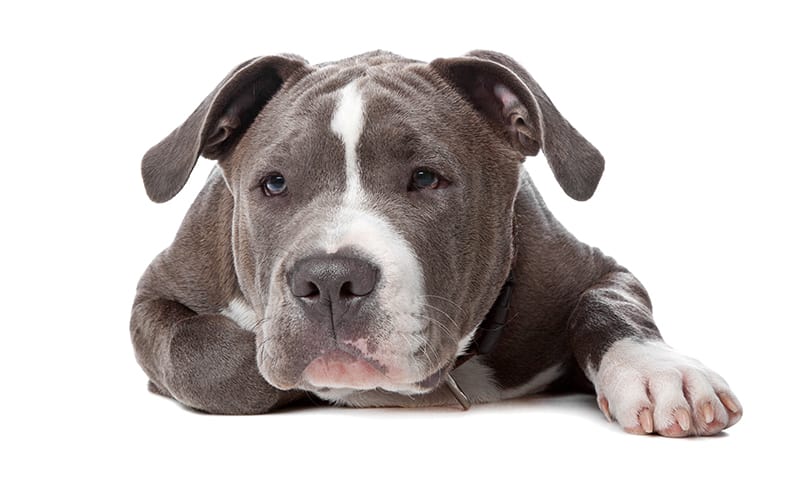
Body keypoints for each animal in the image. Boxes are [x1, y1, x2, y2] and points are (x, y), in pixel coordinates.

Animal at [128, 49, 740, 436]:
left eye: (426, 178)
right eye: (274, 184)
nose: (329, 278)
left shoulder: (597, 271)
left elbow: (606, 305)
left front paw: (659, 373)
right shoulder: (157, 294)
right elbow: (214, 360)